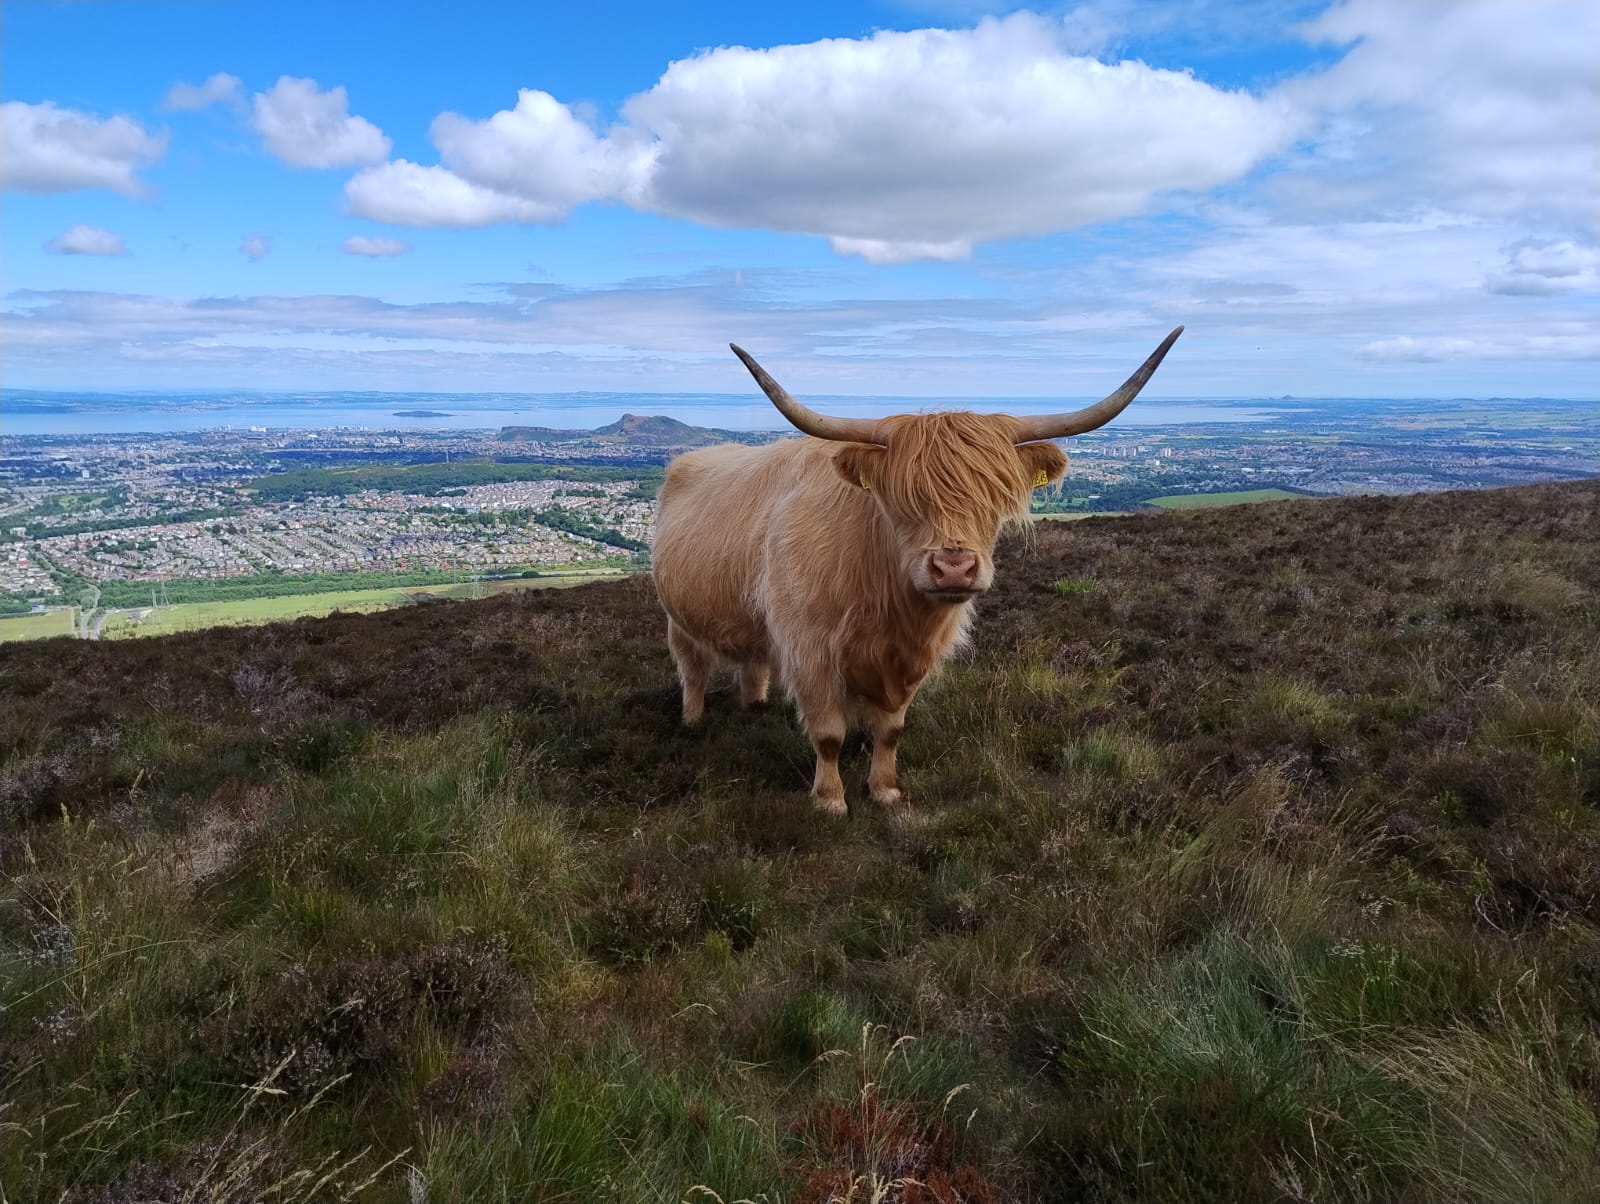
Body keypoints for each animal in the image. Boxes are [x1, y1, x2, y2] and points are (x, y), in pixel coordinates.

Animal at [651, 328, 1184, 814]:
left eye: (994, 499)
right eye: (904, 500)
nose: (954, 569)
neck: (888, 602)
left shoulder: (912, 660)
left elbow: (890, 731)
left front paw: (886, 790)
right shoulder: (810, 649)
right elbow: (828, 734)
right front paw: (830, 800)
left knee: (752, 659)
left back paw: (755, 704)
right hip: (677, 618)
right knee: (692, 667)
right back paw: (693, 720)